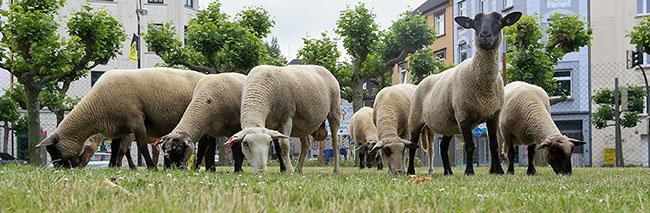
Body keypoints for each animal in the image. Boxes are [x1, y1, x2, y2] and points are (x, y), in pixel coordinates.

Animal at [36, 68, 208, 168]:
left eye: (53, 150)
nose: (58, 168)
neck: (96, 108)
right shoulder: (119, 126)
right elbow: (115, 147)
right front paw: (112, 166)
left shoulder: (136, 120)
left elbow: (141, 146)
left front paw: (152, 167)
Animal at [404, 10, 520, 176]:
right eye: (475, 22)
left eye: (499, 21)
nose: (484, 35)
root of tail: (423, 81)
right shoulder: (463, 115)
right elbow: (470, 146)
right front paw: (469, 171)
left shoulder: (493, 115)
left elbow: (494, 145)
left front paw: (498, 171)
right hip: (416, 119)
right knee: (413, 145)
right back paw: (411, 171)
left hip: (447, 123)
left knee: (443, 147)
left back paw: (448, 172)